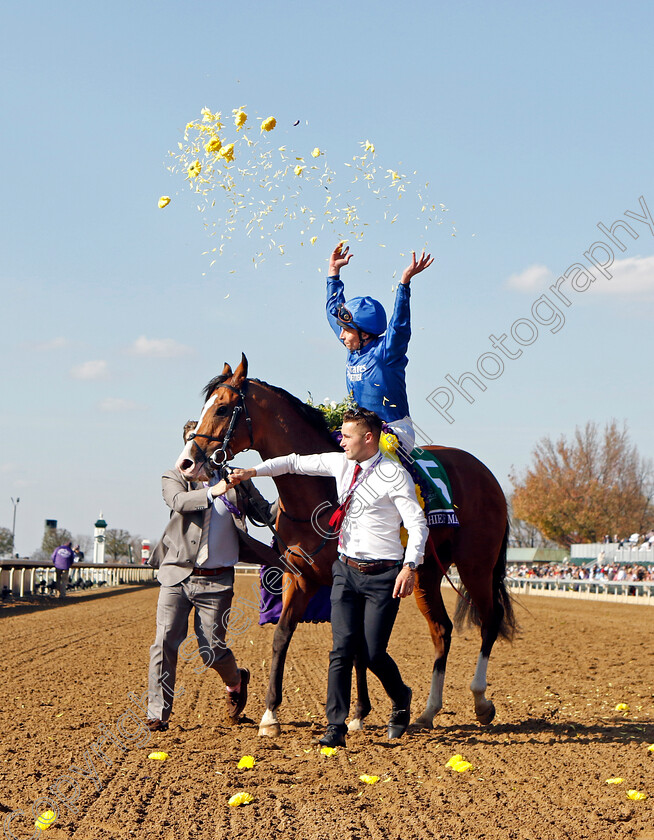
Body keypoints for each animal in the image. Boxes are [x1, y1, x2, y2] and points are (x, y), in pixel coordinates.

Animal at [177, 352, 516, 736]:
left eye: (222, 408)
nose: (187, 462)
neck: (317, 490)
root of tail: (485, 473)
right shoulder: (301, 578)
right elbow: (284, 636)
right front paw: (271, 715)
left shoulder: (345, 576)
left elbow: (355, 646)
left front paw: (357, 712)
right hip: (425, 574)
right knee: (441, 630)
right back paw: (428, 711)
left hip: (476, 564)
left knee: (490, 619)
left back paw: (480, 700)